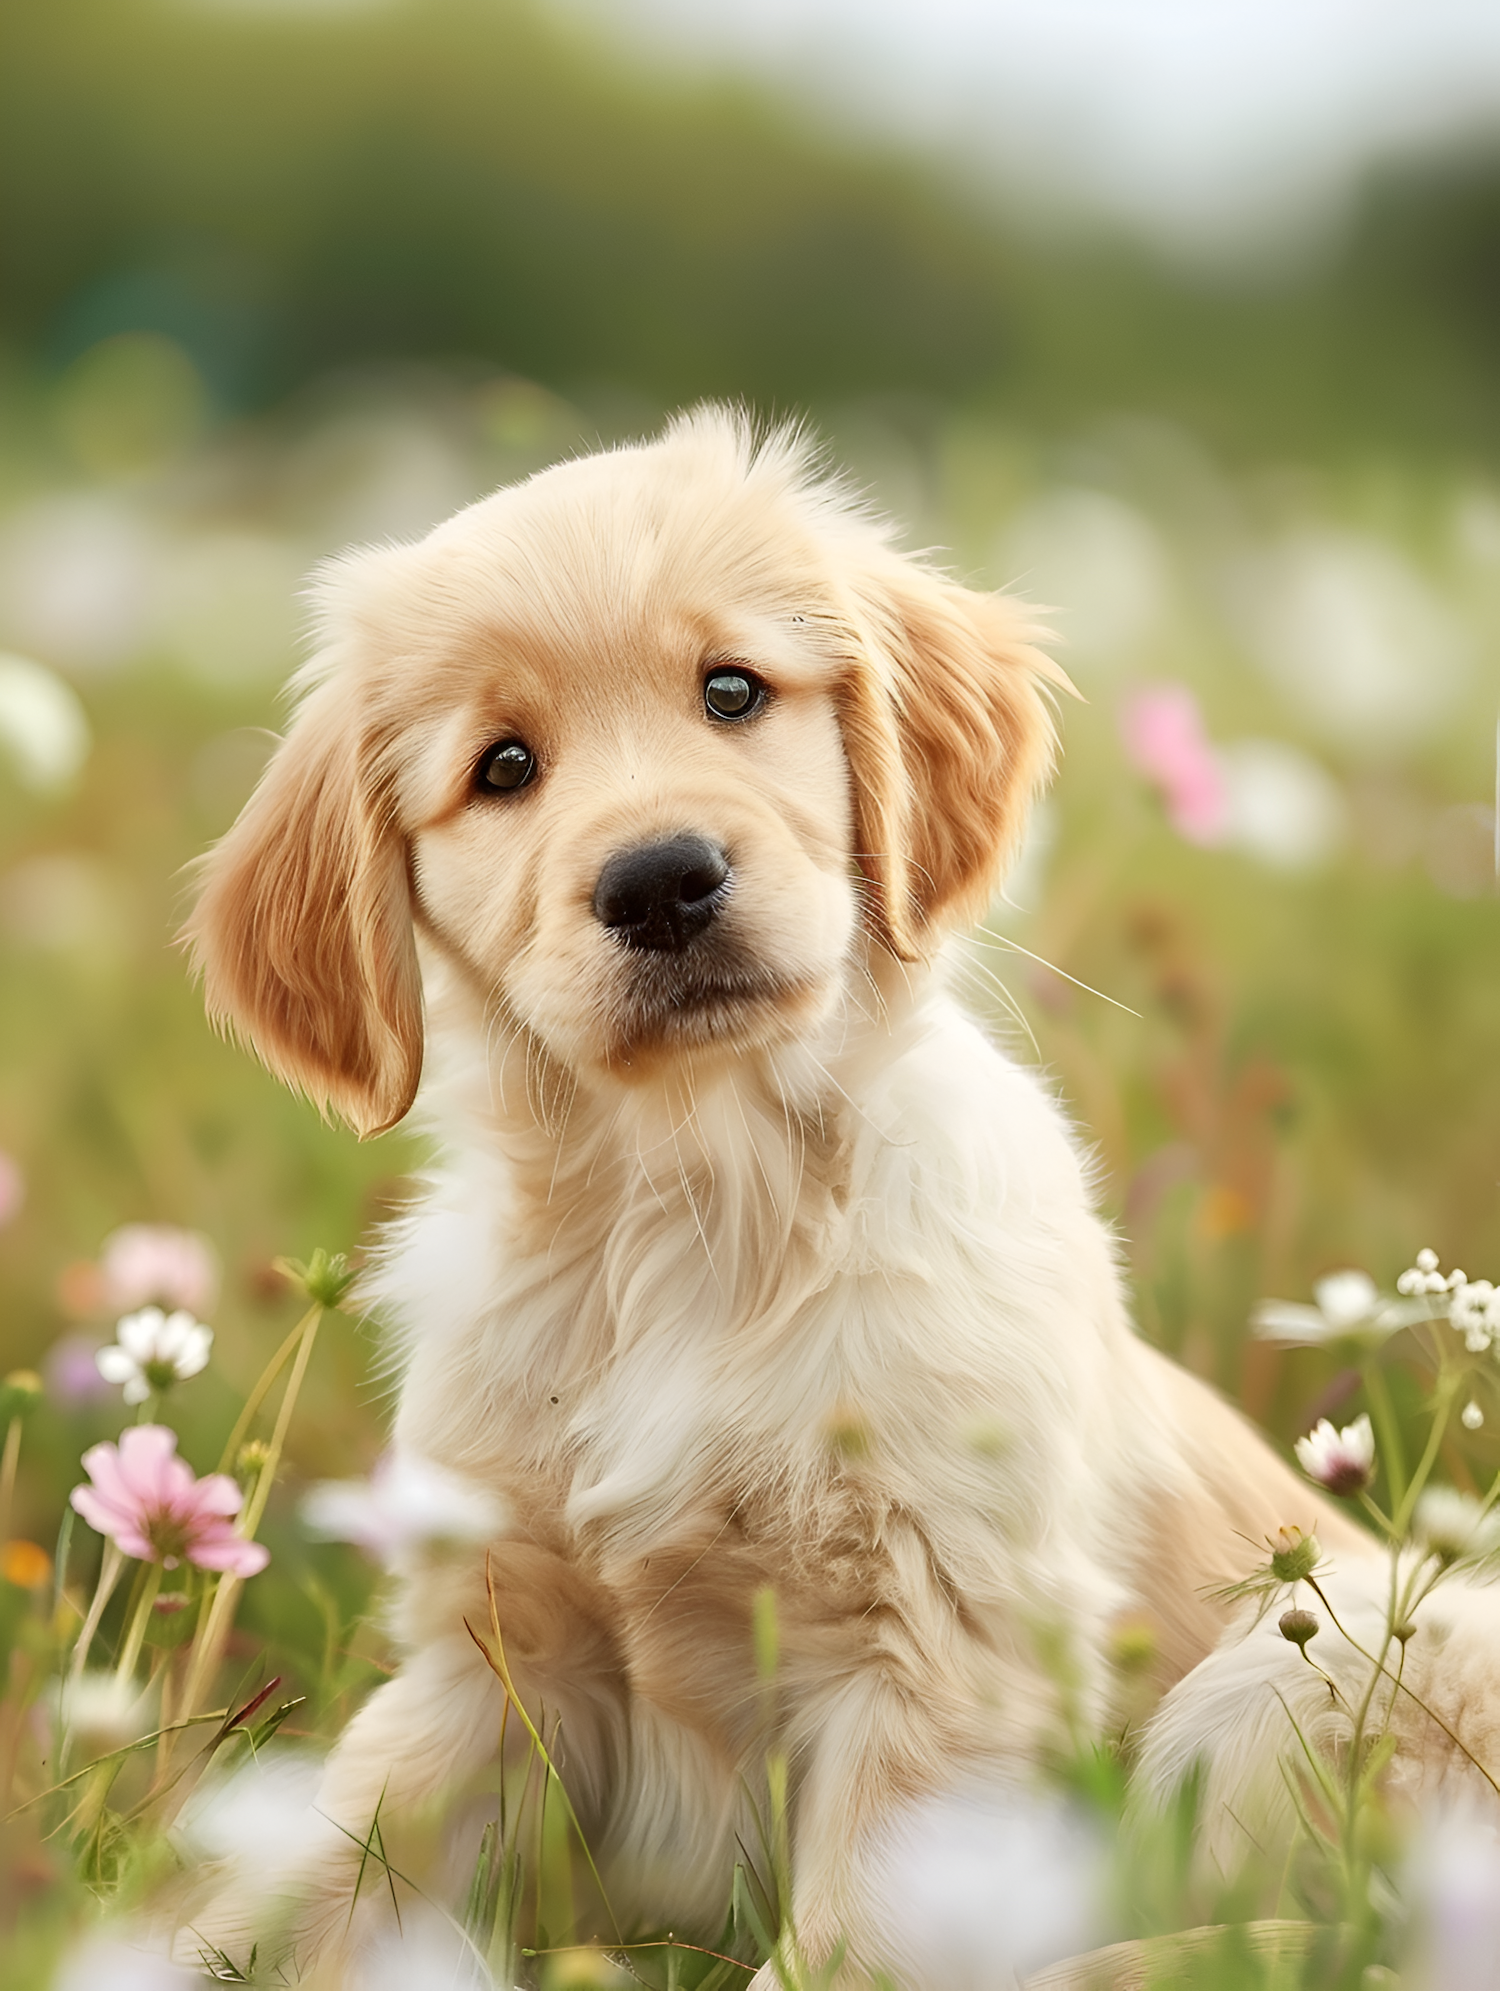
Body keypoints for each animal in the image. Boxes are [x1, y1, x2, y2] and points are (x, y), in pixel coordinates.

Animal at [184, 412, 1418, 1983]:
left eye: (733, 689)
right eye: (504, 766)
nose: (659, 880)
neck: (696, 1204)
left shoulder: (943, 1654)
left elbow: (840, 1943)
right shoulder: (489, 1649)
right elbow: (312, 1882)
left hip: (1290, 1670)